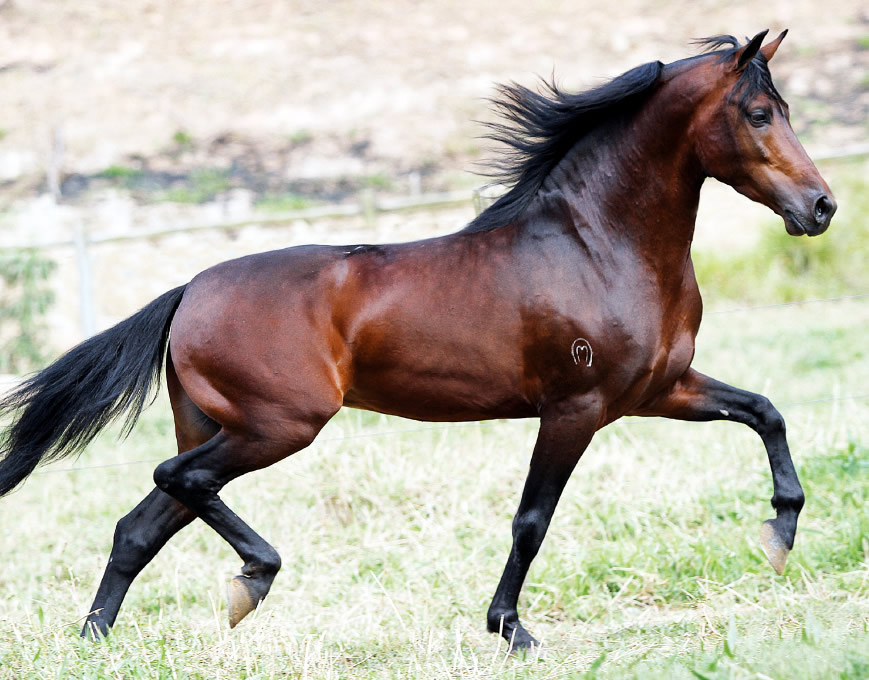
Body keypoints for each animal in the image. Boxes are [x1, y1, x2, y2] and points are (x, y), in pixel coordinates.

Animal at [0, 30, 836, 651]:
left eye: (782, 107)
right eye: (757, 113)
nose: (820, 207)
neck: (597, 245)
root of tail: (190, 291)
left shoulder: (658, 390)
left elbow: (764, 411)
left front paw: (779, 532)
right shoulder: (576, 407)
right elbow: (531, 521)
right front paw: (509, 629)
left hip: (224, 427)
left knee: (140, 524)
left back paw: (99, 639)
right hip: (277, 425)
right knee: (176, 478)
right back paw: (251, 580)